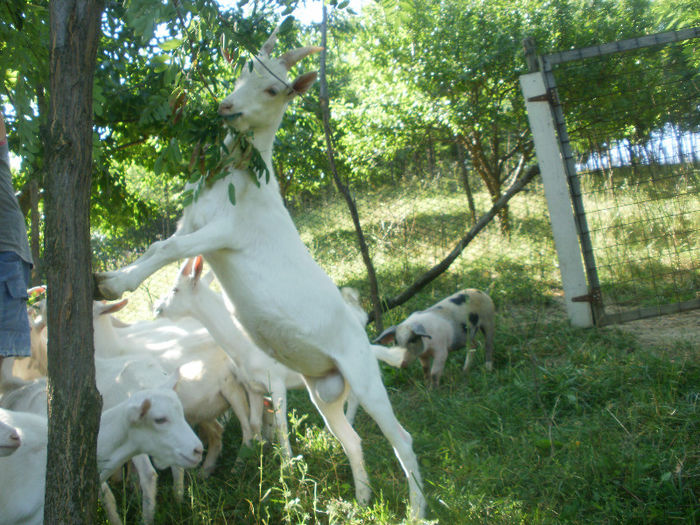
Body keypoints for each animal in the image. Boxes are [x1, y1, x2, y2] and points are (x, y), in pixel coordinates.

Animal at [94, 26, 426, 516]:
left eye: (275, 89)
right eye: (243, 70)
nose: (226, 107)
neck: (241, 175)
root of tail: (360, 328)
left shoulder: (223, 232)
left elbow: (169, 247)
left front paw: (114, 283)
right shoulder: (192, 221)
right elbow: (160, 245)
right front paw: (109, 278)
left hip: (363, 374)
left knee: (402, 438)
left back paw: (417, 510)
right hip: (324, 389)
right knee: (352, 439)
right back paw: (361, 498)